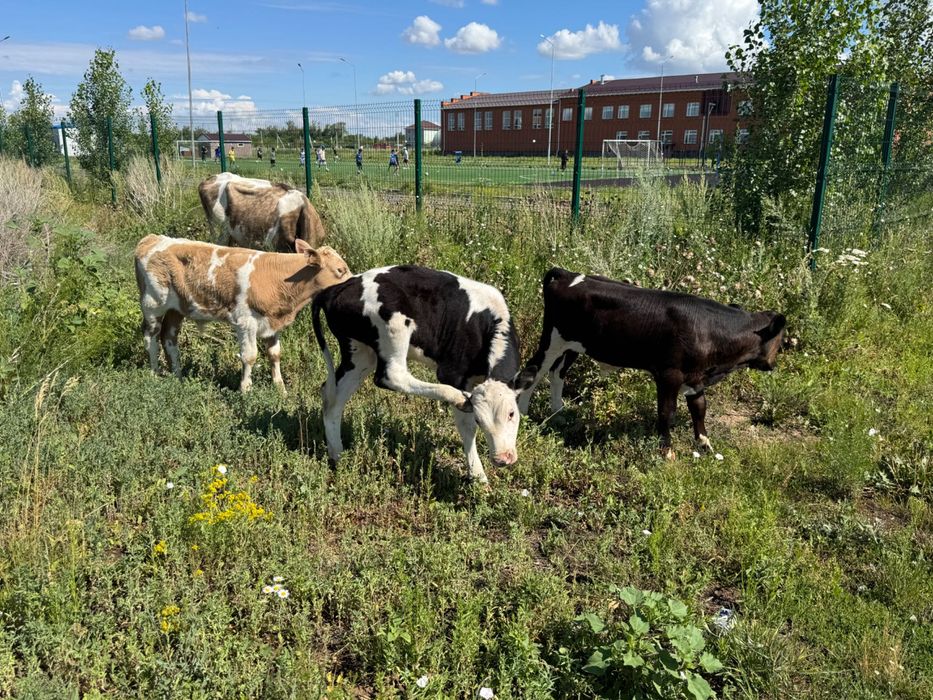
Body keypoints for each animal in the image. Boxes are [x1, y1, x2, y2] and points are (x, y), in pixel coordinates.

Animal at [134, 234, 350, 393]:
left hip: (176, 309)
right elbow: (249, 356)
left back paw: (177, 376)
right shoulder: (246, 322)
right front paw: (245, 390)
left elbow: (275, 354)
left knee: (169, 339)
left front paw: (280, 389)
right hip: (153, 305)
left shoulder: (272, 324)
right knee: (151, 338)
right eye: (340, 270)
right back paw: (154, 374)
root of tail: (151, 239)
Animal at [312, 265, 534, 484]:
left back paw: (338, 456)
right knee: (390, 375)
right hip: (394, 327)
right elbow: (466, 426)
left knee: (332, 398)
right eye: (480, 420)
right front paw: (478, 476)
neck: (486, 323)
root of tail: (337, 288)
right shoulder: (453, 374)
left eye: (512, 413)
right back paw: (454, 396)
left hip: (359, 352)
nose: (502, 459)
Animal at [517, 268, 786, 457]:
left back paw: (558, 412)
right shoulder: (669, 374)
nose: (773, 364)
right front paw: (667, 452)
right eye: (782, 339)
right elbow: (667, 412)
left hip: (574, 346)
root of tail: (566, 274)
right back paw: (523, 413)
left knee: (557, 373)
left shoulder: (696, 378)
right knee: (532, 372)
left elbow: (699, 408)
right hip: (552, 340)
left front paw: (705, 445)